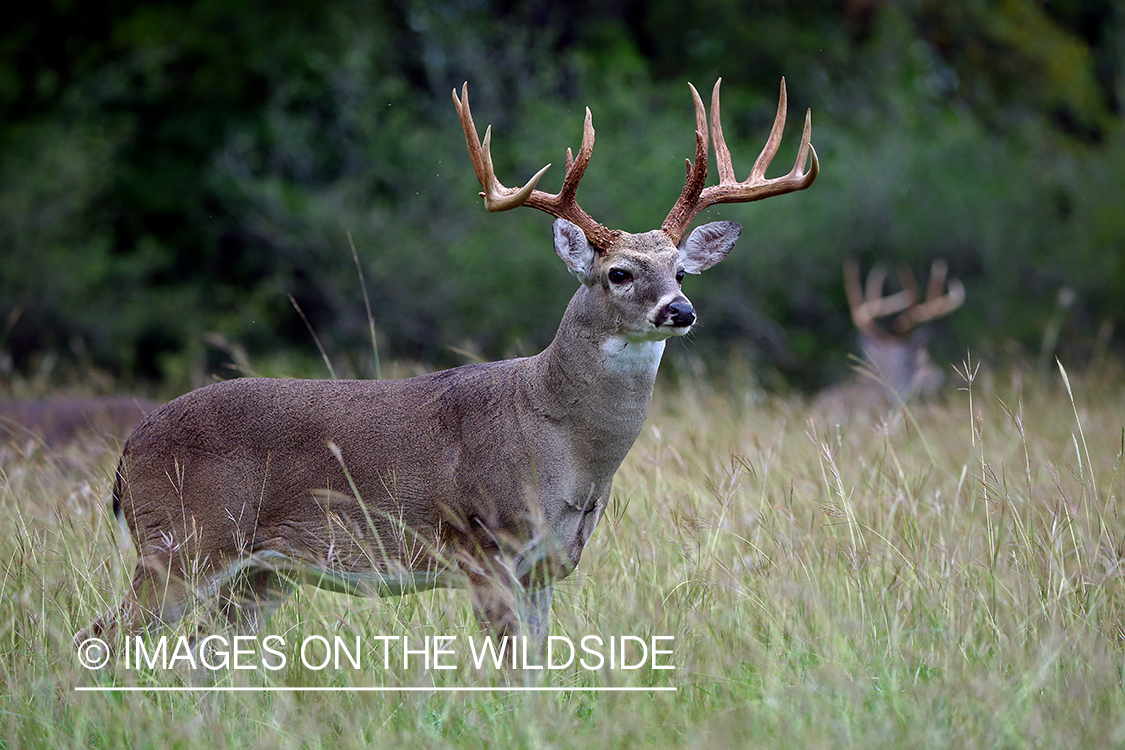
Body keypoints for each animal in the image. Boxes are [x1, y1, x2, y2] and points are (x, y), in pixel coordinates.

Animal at [77, 76, 819, 652]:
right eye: (618, 273)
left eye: (681, 269)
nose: (680, 310)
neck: (562, 442)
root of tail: (128, 450)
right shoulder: (482, 545)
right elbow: (508, 667)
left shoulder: (549, 565)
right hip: (181, 542)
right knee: (102, 637)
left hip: (261, 572)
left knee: (198, 650)